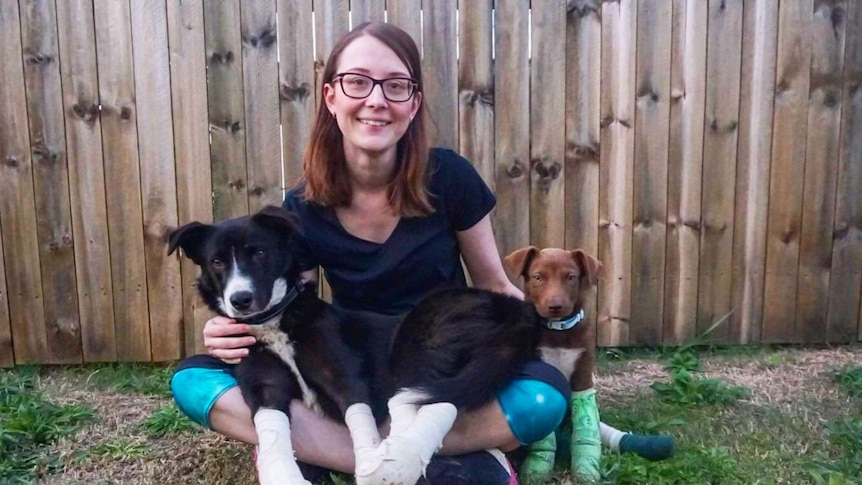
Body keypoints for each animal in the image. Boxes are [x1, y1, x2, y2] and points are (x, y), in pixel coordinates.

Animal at [168, 205, 540, 484]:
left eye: (259, 252)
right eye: (216, 261)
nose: (240, 300)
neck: (275, 322)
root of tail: (513, 307)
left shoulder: (344, 376)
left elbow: (360, 420)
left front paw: (374, 463)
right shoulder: (262, 386)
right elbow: (270, 426)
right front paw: (284, 475)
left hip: (421, 333)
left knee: (429, 397)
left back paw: (401, 459)